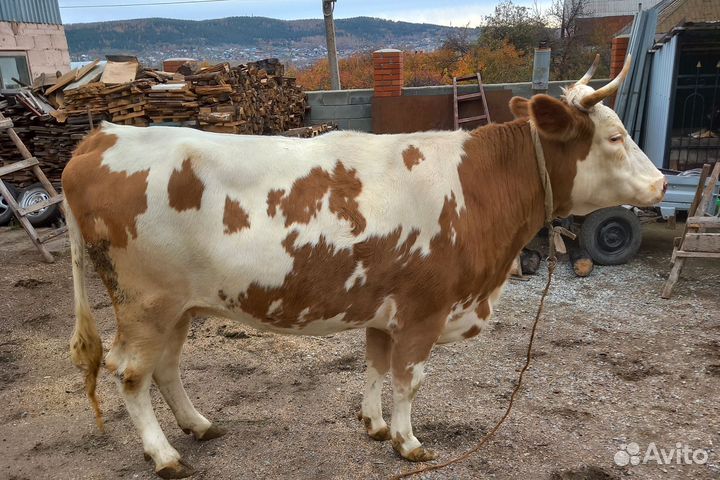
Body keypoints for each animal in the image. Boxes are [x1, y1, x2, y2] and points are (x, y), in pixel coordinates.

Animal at [62, 55, 665, 478]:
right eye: (615, 137)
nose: (661, 183)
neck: (476, 189)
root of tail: (104, 134)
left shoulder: (384, 310)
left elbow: (375, 366)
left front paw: (374, 426)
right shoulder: (424, 310)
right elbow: (409, 378)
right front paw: (408, 442)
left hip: (181, 306)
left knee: (165, 367)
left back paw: (199, 425)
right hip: (146, 304)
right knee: (131, 373)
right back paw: (164, 455)